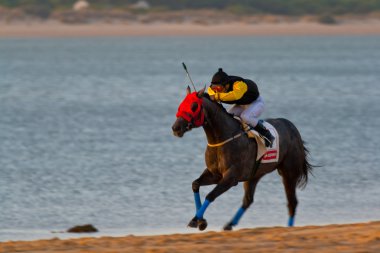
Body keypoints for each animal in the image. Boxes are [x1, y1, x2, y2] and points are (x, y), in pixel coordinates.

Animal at [171, 86, 314, 231]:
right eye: (182, 104)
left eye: (194, 106)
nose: (175, 128)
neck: (223, 138)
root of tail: (293, 128)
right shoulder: (214, 174)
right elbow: (195, 184)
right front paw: (200, 221)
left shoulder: (231, 178)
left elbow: (210, 195)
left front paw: (197, 220)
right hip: (255, 175)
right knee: (248, 200)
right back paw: (229, 224)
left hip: (289, 173)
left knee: (292, 202)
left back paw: (290, 228)